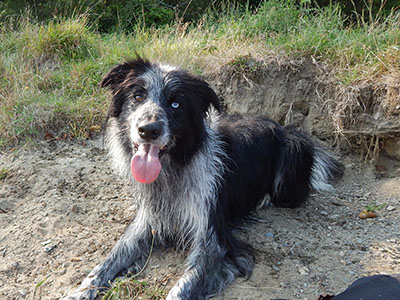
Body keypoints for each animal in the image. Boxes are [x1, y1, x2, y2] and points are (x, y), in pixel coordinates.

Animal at [62, 57, 344, 298]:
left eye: (176, 104)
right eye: (138, 96)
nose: (148, 130)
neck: (175, 169)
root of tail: (285, 128)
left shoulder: (212, 240)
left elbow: (183, 285)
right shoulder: (148, 221)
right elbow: (109, 259)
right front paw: (80, 291)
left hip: (291, 162)